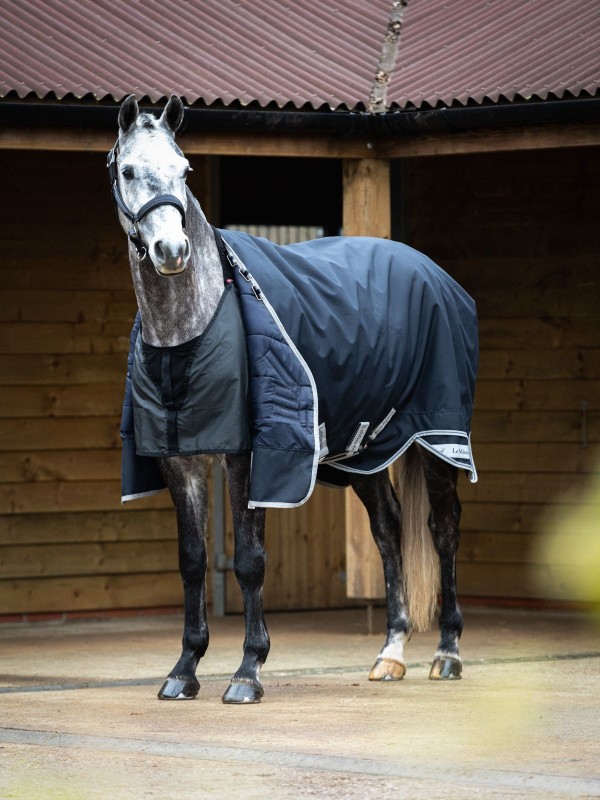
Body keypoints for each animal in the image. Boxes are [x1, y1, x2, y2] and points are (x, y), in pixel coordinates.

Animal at [108, 94, 478, 704]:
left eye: (184, 170)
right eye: (129, 170)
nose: (171, 250)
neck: (191, 327)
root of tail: (439, 277)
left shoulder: (248, 454)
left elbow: (250, 561)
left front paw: (247, 671)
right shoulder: (179, 460)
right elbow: (192, 561)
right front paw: (184, 669)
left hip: (437, 437)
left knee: (442, 531)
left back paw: (447, 653)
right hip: (367, 450)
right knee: (389, 531)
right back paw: (391, 653)